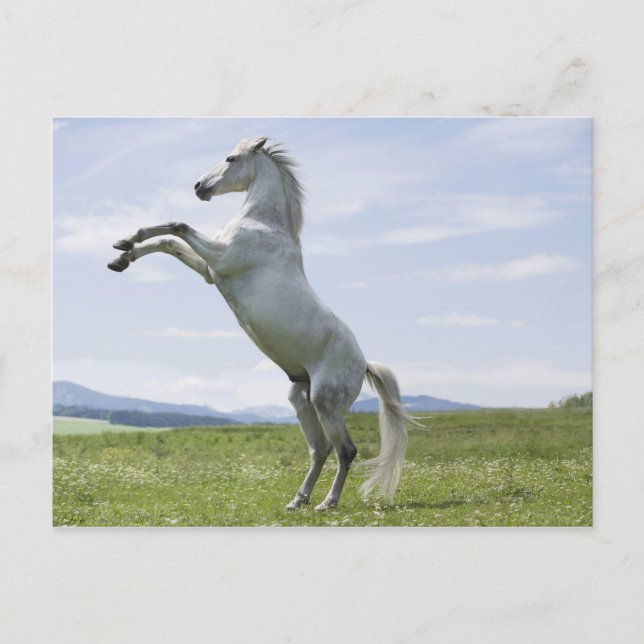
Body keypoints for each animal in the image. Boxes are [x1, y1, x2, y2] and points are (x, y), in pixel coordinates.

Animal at [108, 136, 414, 510]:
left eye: (230, 158)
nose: (199, 187)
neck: (263, 224)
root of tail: (364, 364)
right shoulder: (210, 270)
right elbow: (168, 242)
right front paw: (121, 253)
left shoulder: (219, 256)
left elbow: (177, 227)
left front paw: (124, 245)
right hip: (301, 399)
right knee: (320, 449)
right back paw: (297, 501)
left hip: (326, 403)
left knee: (346, 450)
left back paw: (328, 502)